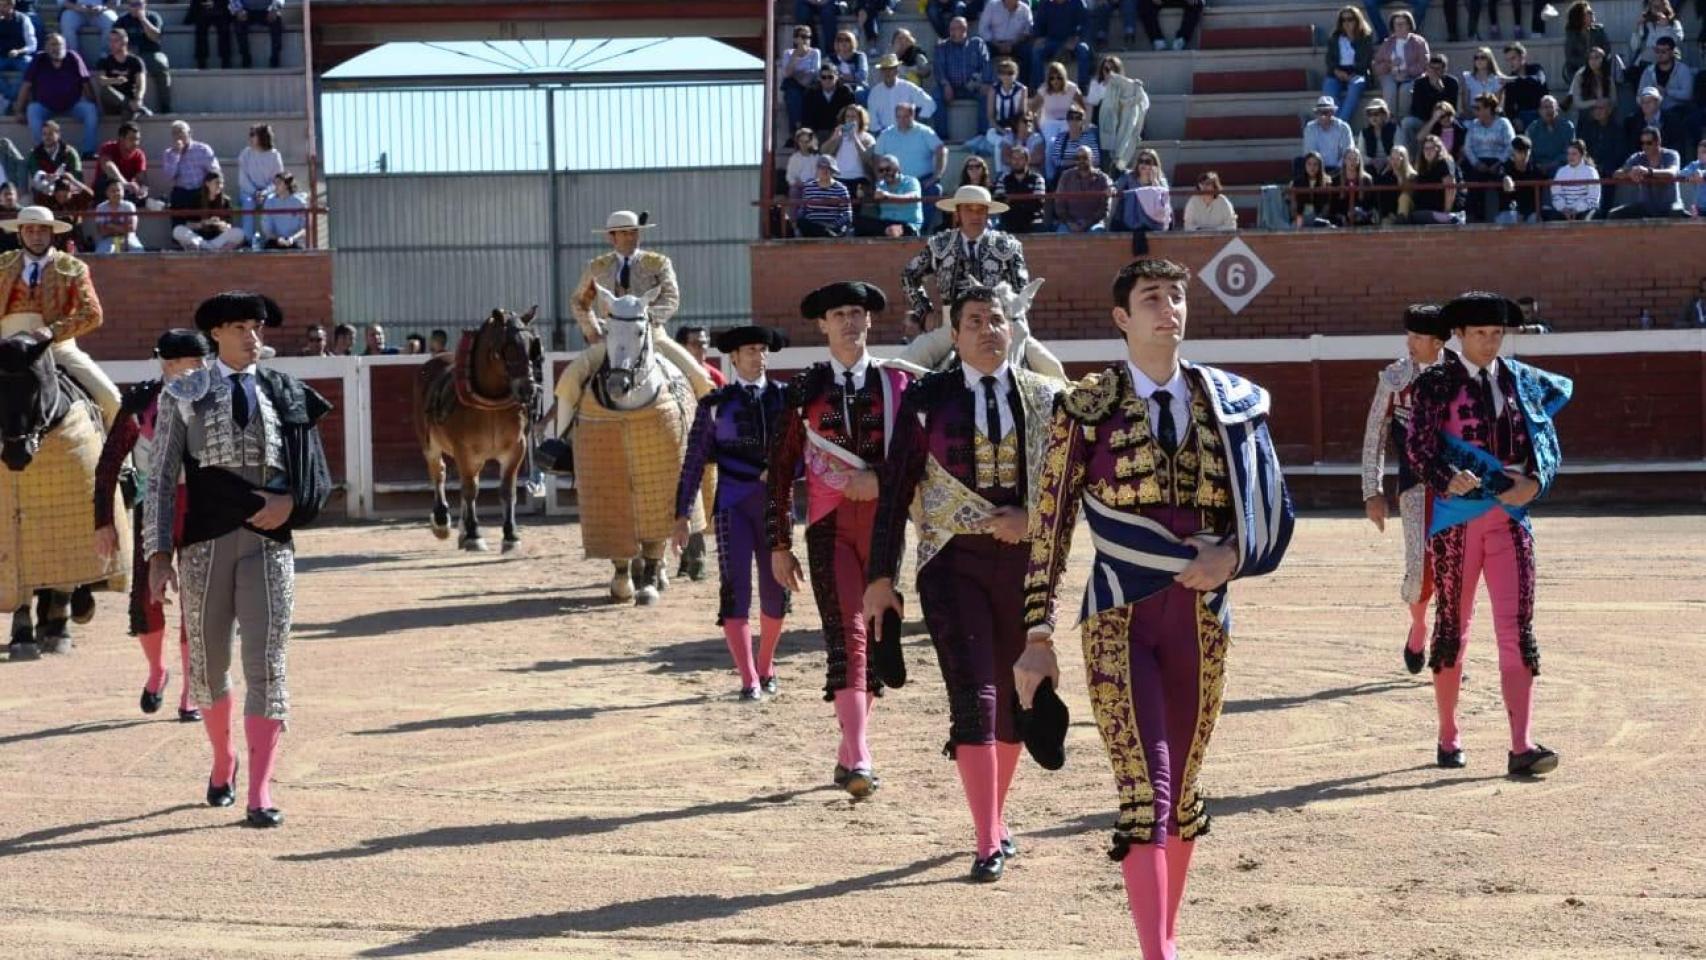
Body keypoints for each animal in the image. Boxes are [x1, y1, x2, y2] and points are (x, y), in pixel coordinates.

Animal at [409, 303, 542, 552]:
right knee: (439, 472)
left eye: (532, 345)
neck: (491, 403)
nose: (528, 389)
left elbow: (507, 491)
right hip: (429, 444)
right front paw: (474, 534)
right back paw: (441, 521)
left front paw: (511, 535)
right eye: (508, 347)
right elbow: (470, 489)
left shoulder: (515, 450)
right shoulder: (464, 450)